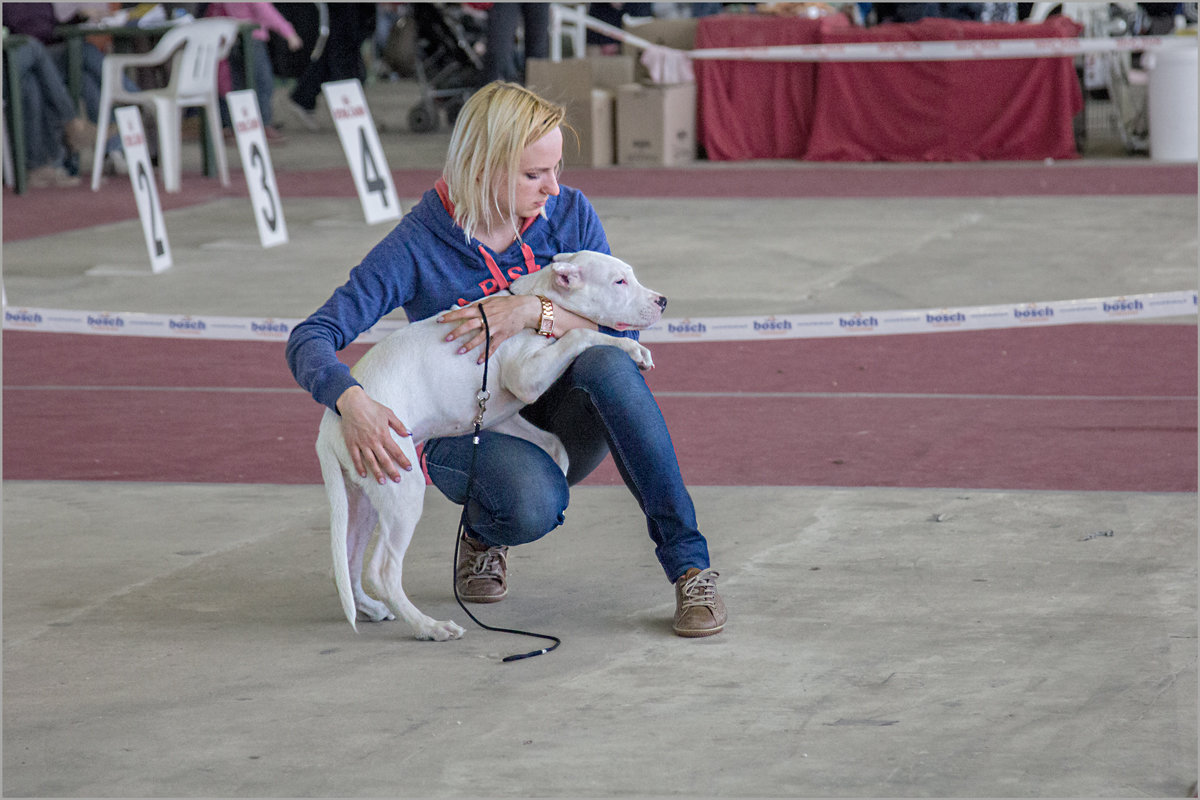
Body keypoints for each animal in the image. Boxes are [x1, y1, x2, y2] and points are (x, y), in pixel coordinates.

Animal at [316, 253, 667, 642]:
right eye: (619, 282)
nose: (662, 301)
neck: (537, 298)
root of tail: (331, 425)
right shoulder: (526, 376)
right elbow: (581, 332)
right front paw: (631, 348)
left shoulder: (501, 414)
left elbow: (555, 444)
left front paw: (558, 474)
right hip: (401, 488)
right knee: (382, 570)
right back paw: (430, 627)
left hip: (365, 493)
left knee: (348, 559)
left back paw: (371, 609)